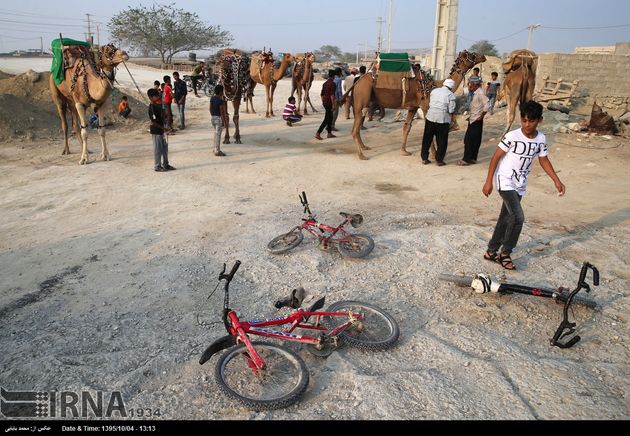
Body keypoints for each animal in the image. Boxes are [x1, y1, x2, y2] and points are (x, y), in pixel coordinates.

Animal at [346, 51, 488, 160]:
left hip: (365, 101)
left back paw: (364, 147)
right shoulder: (425, 105)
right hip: (362, 97)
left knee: (357, 125)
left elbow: (406, 127)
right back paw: (361, 155)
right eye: (472, 54)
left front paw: (404, 151)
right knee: (354, 129)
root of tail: (357, 82)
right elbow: (429, 130)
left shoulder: (413, 107)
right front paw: (433, 155)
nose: (483, 56)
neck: (436, 85)